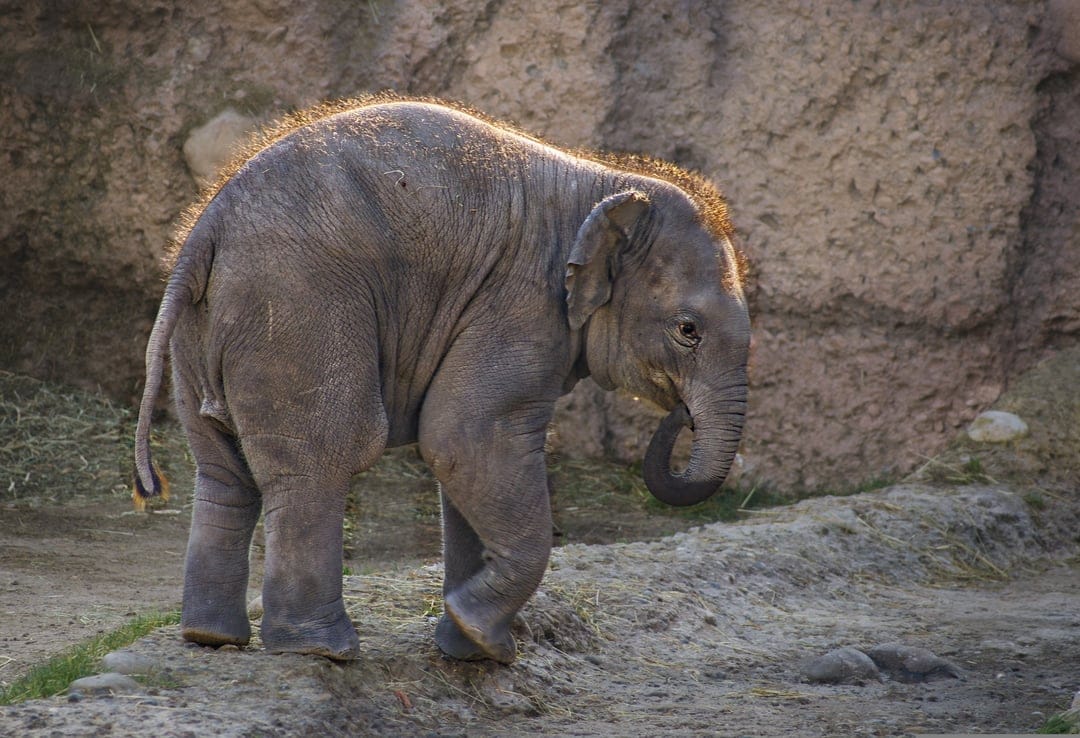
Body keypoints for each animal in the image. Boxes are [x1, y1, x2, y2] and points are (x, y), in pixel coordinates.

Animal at [134, 95, 750, 664]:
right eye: (688, 331)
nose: (681, 413)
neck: (604, 182)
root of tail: (204, 231)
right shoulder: (520, 305)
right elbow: (462, 438)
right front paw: (485, 639)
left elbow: (467, 463)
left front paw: (471, 649)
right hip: (296, 311)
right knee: (324, 455)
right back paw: (322, 650)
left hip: (202, 332)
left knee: (222, 471)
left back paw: (211, 637)